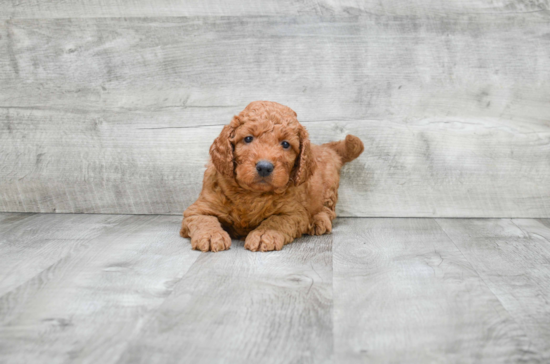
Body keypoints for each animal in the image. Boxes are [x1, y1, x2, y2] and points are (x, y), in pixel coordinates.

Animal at [180, 101, 366, 252]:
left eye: (285, 144)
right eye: (248, 138)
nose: (264, 167)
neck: (251, 194)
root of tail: (325, 148)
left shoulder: (294, 213)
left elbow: (276, 221)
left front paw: (264, 234)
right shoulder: (198, 209)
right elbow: (204, 219)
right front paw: (211, 235)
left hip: (329, 189)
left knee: (328, 210)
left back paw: (318, 221)